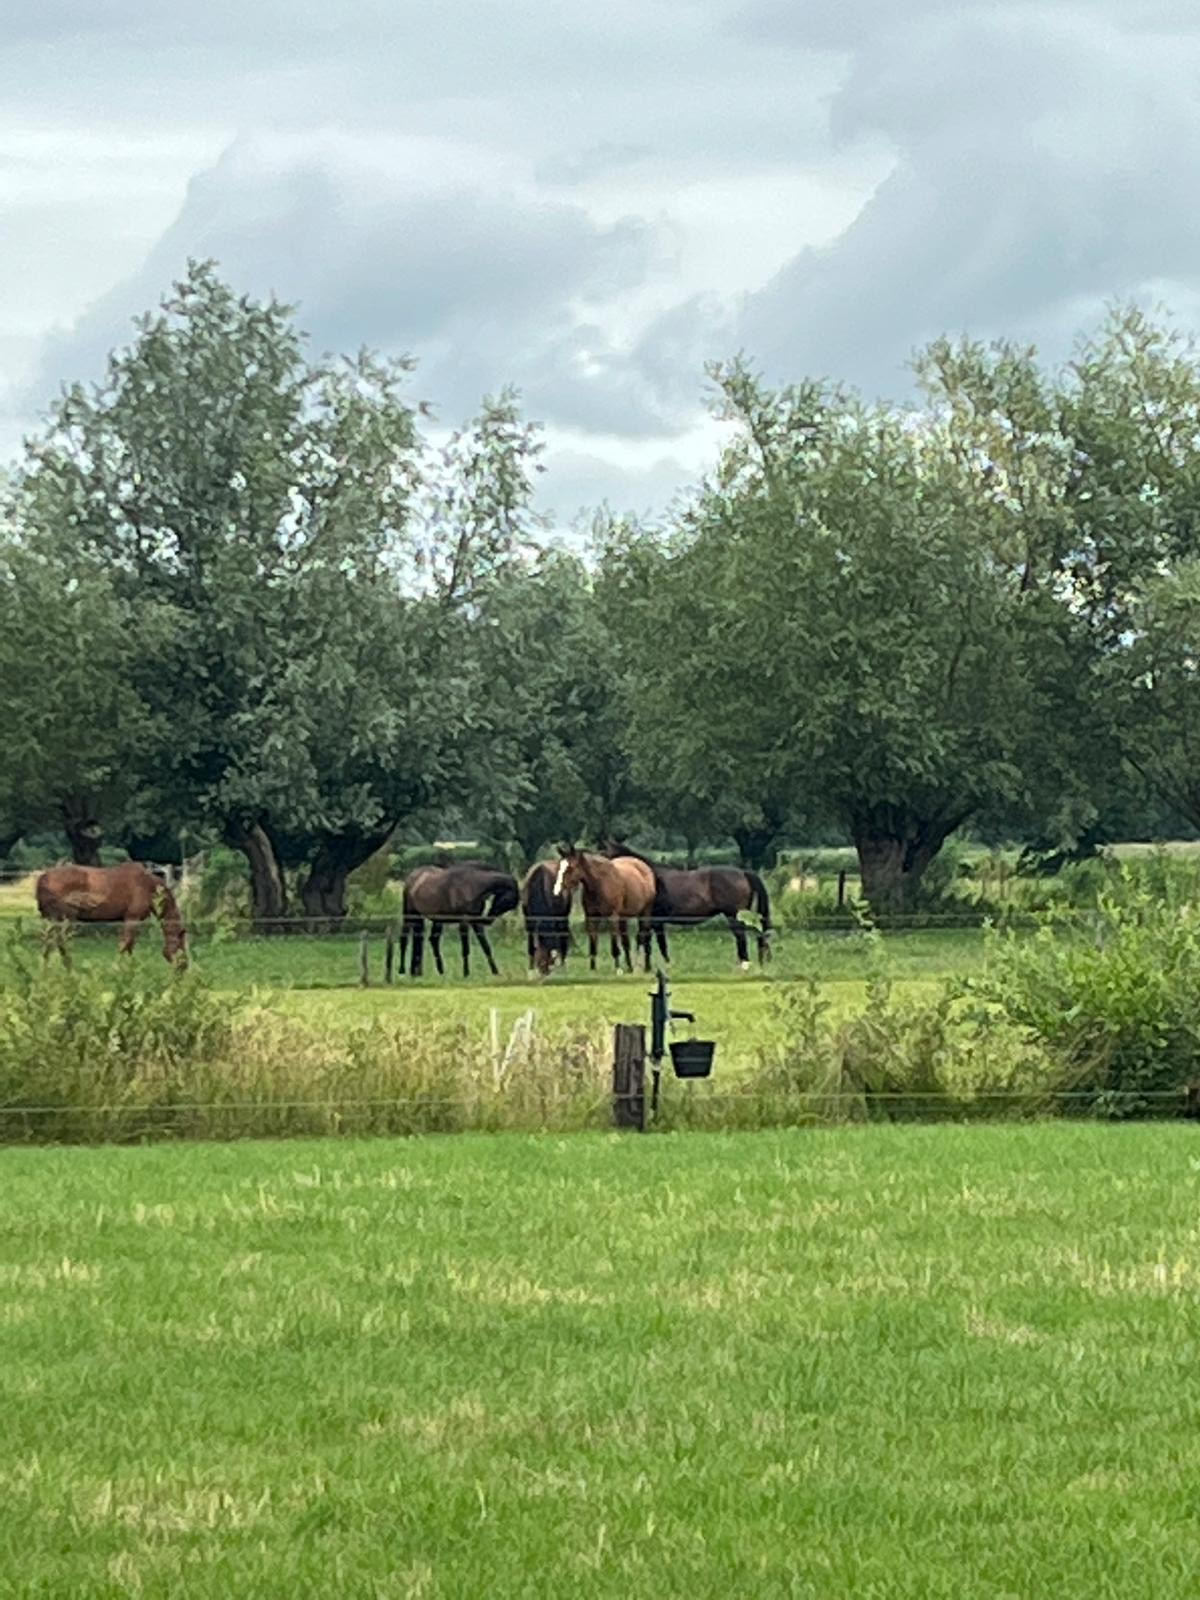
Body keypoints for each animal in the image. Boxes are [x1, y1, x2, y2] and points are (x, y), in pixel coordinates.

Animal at [35, 861, 188, 965]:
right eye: (181, 948)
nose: (183, 968)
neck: (148, 886)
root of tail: (43, 878)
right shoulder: (132, 918)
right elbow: (125, 944)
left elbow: (129, 946)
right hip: (66, 919)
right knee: (61, 945)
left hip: (51, 920)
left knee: (47, 945)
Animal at [603, 842, 772, 969]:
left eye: (603, 852)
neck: (646, 877)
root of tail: (743, 873)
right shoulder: (657, 922)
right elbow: (660, 944)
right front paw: (666, 964)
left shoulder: (650, 919)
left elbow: (646, 941)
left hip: (735, 916)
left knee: (742, 938)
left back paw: (744, 965)